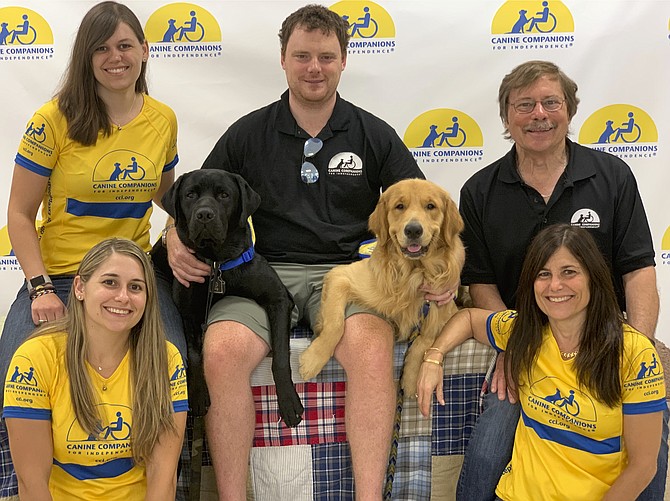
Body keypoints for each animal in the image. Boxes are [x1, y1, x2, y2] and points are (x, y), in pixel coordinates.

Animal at [152, 168, 304, 426]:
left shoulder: (278, 298)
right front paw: (198, 394)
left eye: (224, 195)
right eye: (190, 195)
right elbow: (194, 354)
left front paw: (288, 401)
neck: (217, 263)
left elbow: (281, 356)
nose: (204, 214)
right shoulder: (189, 314)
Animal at [300, 179, 464, 394]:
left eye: (430, 206)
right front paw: (313, 359)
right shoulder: (341, 276)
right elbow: (335, 324)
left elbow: (426, 339)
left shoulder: (445, 308)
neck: (413, 274)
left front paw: (411, 379)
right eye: (399, 206)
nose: (413, 230)